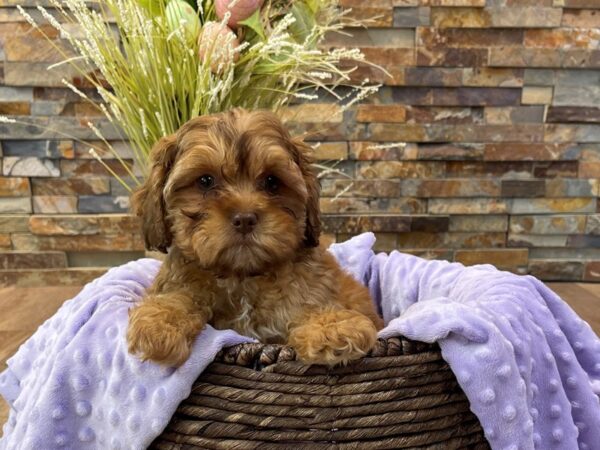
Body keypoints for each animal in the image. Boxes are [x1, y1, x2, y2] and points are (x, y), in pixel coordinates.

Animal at [125, 108, 384, 366]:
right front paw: (159, 323)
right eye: (205, 181)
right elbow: (178, 295)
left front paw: (333, 328)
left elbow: (310, 304)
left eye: (272, 181)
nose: (245, 219)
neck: (242, 275)